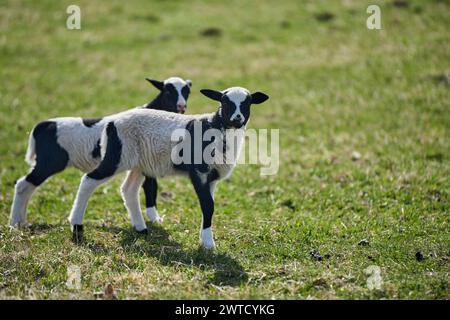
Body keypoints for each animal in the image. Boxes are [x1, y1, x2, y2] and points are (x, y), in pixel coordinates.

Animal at [9, 76, 192, 230]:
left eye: (186, 92)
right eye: (167, 91)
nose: (182, 106)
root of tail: (44, 125)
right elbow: (151, 186)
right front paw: (155, 218)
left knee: (27, 185)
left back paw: (21, 220)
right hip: (50, 162)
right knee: (23, 184)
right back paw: (15, 223)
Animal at [67, 86, 268, 249]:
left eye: (247, 103)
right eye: (224, 102)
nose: (237, 118)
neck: (217, 128)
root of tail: (112, 122)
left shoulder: (212, 177)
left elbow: (209, 206)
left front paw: (204, 240)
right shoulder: (199, 171)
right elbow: (208, 205)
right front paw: (209, 244)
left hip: (139, 163)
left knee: (128, 189)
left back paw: (141, 228)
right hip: (116, 156)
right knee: (89, 180)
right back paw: (76, 226)